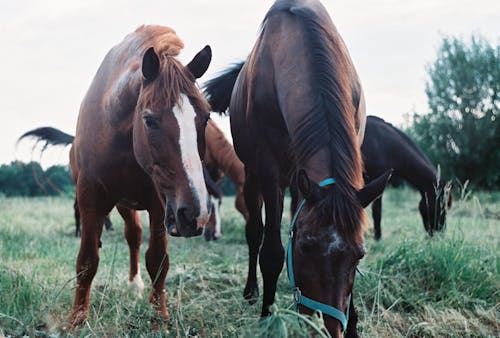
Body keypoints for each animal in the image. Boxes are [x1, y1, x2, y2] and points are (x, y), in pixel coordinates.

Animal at [20, 25, 211, 328]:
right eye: (149, 120)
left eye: (205, 118)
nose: (195, 214)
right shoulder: (90, 197)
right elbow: (87, 260)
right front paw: (76, 319)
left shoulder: (161, 202)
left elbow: (158, 260)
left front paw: (159, 316)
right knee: (130, 235)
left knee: (134, 236)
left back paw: (135, 286)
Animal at [204, 1, 390, 336]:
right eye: (305, 247)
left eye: (359, 254)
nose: (329, 328)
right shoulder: (269, 171)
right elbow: (272, 251)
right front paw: (267, 317)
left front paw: (354, 323)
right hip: (252, 176)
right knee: (255, 231)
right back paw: (252, 291)